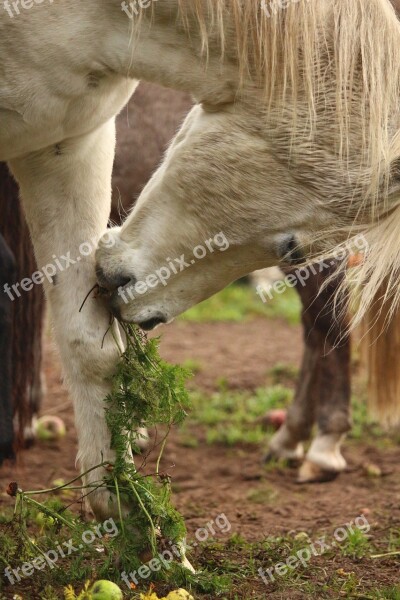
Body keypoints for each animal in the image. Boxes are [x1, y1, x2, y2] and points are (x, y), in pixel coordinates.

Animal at [2, 0, 400, 516]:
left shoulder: (70, 140)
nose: (144, 314)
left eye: (292, 246)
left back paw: (319, 446)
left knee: (325, 326)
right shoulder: (56, 141)